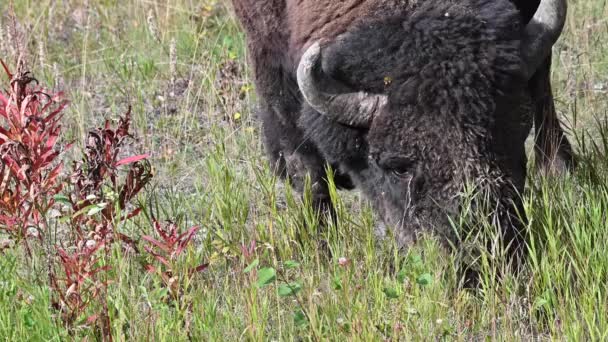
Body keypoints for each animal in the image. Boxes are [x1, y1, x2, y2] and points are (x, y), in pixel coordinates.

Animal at [230, 0, 572, 254]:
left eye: (516, 140)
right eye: (397, 167)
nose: (485, 249)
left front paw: (559, 173)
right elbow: (306, 171)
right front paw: (321, 249)